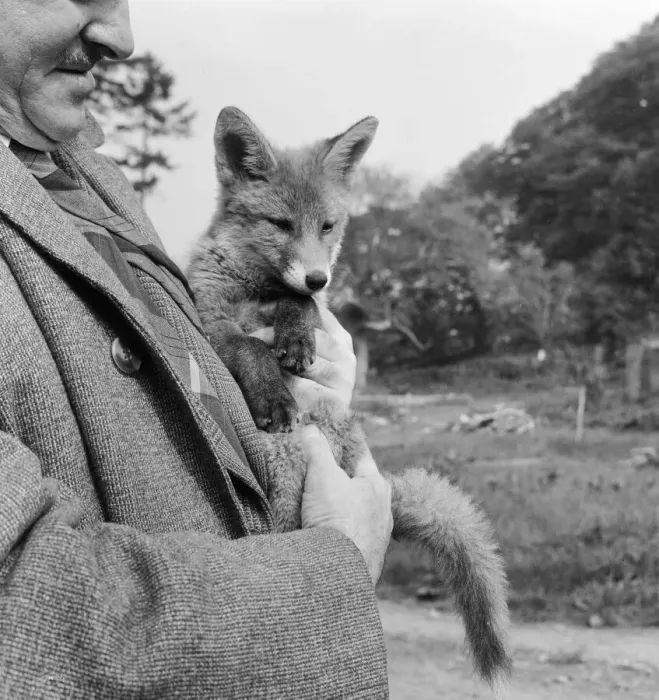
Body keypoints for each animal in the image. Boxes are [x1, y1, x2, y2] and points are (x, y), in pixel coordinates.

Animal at [186, 106, 512, 696]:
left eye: (328, 226)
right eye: (280, 224)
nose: (319, 275)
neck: (255, 289)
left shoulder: (310, 308)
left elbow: (299, 310)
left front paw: (295, 339)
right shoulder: (209, 314)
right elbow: (249, 347)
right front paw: (271, 392)